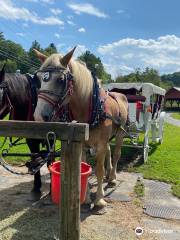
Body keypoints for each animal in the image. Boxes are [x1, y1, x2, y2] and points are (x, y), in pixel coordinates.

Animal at [33, 47, 129, 212]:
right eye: (39, 79)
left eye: (61, 80)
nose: (38, 116)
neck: (91, 108)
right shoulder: (82, 143)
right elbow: (85, 168)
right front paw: (86, 199)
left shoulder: (100, 144)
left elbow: (98, 169)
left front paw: (99, 200)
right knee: (109, 152)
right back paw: (108, 175)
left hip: (120, 134)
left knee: (116, 154)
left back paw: (112, 178)